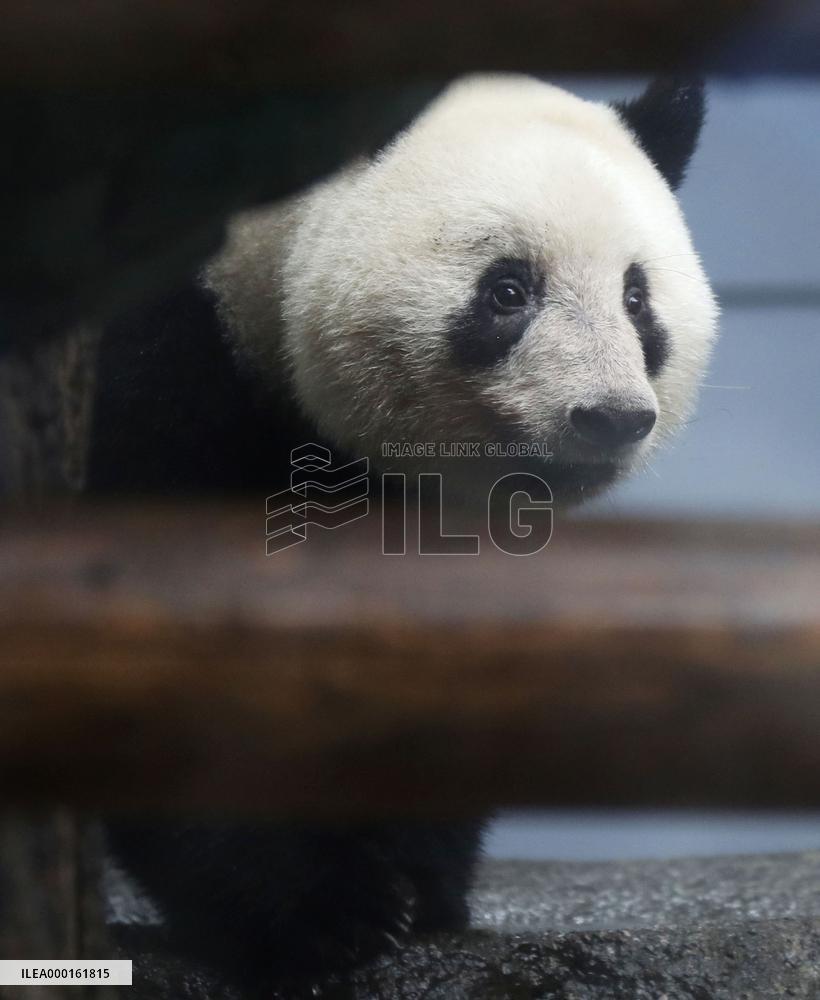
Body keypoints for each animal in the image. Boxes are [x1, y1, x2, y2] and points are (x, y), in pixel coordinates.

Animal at [91, 76, 718, 990]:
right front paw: (320, 917)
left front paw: (421, 885)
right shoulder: (160, 369)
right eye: (507, 289)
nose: (610, 419)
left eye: (637, 297)